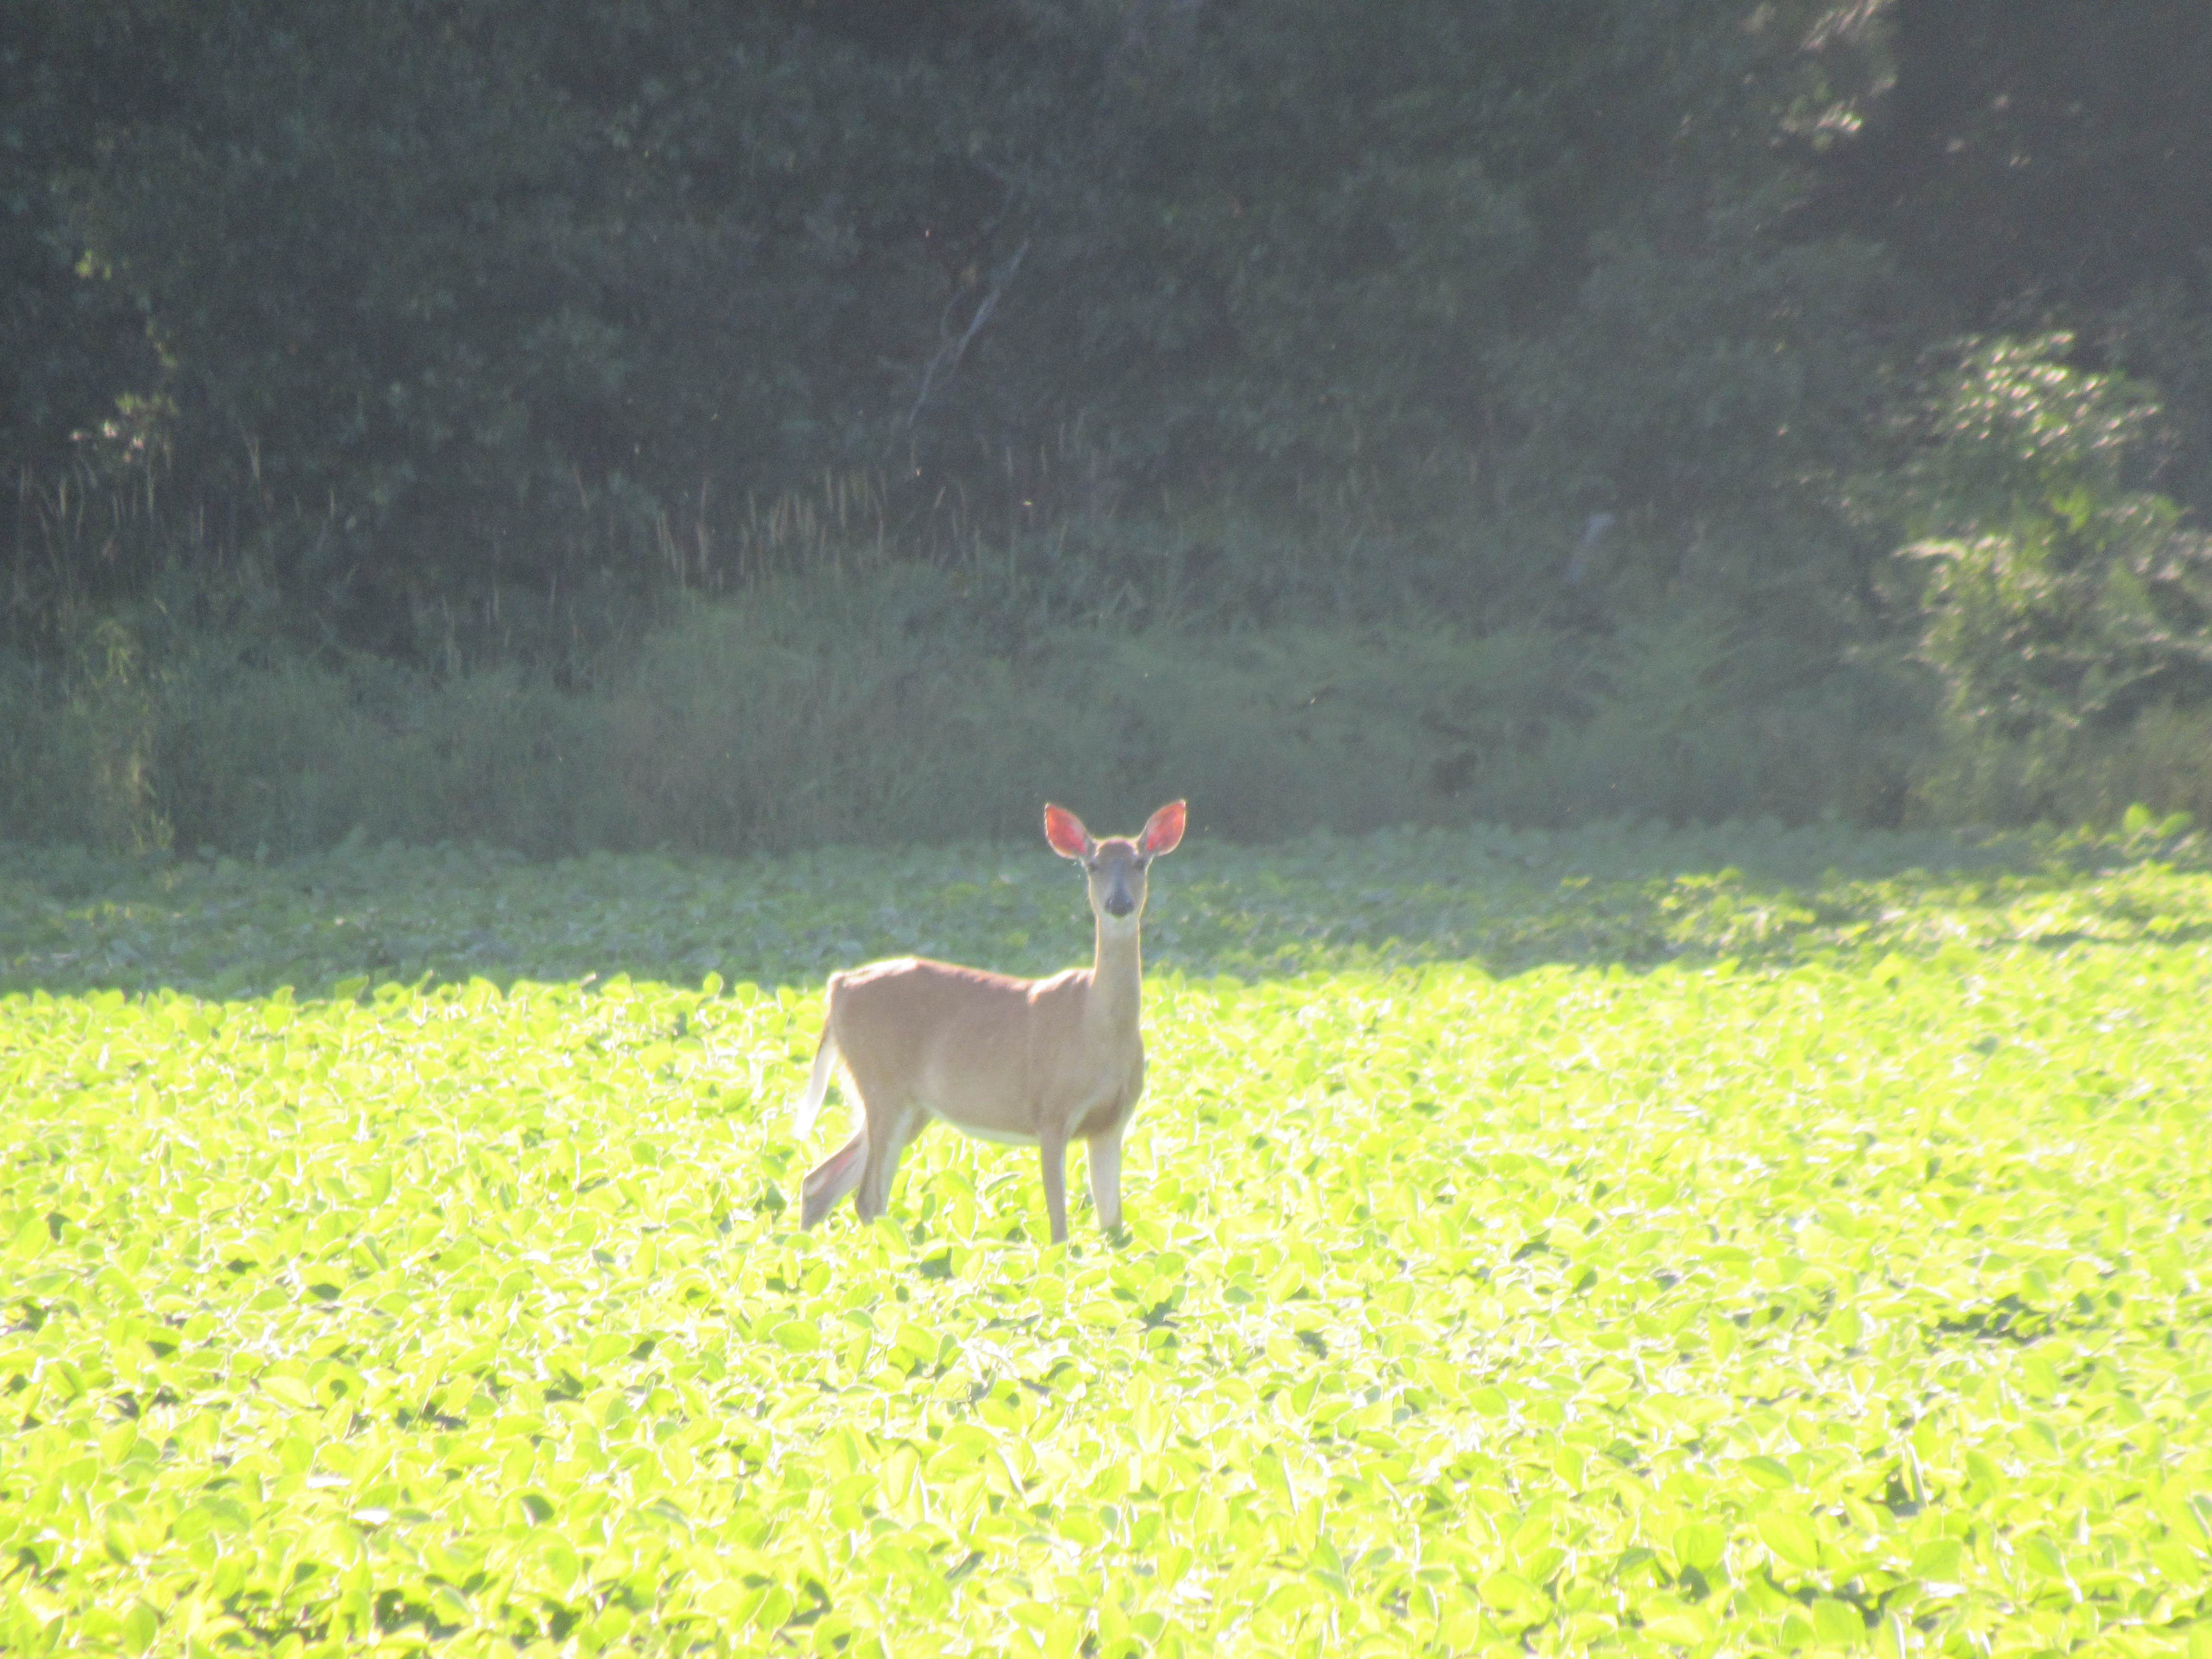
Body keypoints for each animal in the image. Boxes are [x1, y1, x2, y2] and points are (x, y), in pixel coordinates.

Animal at [792, 801, 1185, 1247]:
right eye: (1093, 865)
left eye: (1140, 862)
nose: (1119, 903)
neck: (1099, 1030)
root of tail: (837, 986)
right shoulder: (1051, 1111)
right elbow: (1059, 1230)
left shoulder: (1113, 1123)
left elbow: (1114, 1227)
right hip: (882, 1085)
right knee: (867, 1197)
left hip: (913, 1106)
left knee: (820, 1181)